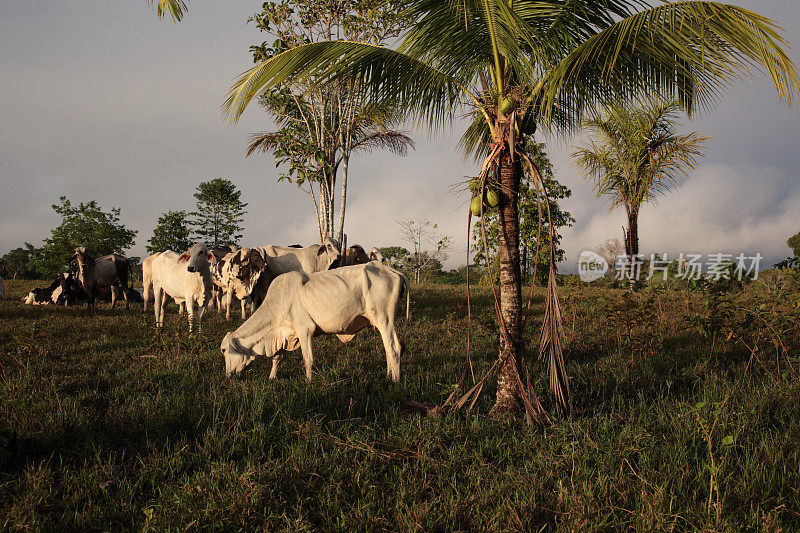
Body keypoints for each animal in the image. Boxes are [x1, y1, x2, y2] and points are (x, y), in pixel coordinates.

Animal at [219, 260, 410, 378]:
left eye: (223, 350)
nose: (228, 375)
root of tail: (393, 271)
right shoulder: (284, 333)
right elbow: (277, 358)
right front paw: (272, 378)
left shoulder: (305, 330)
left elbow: (308, 360)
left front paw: (309, 382)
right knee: (387, 348)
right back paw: (388, 375)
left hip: (384, 319)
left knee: (394, 348)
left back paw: (394, 381)